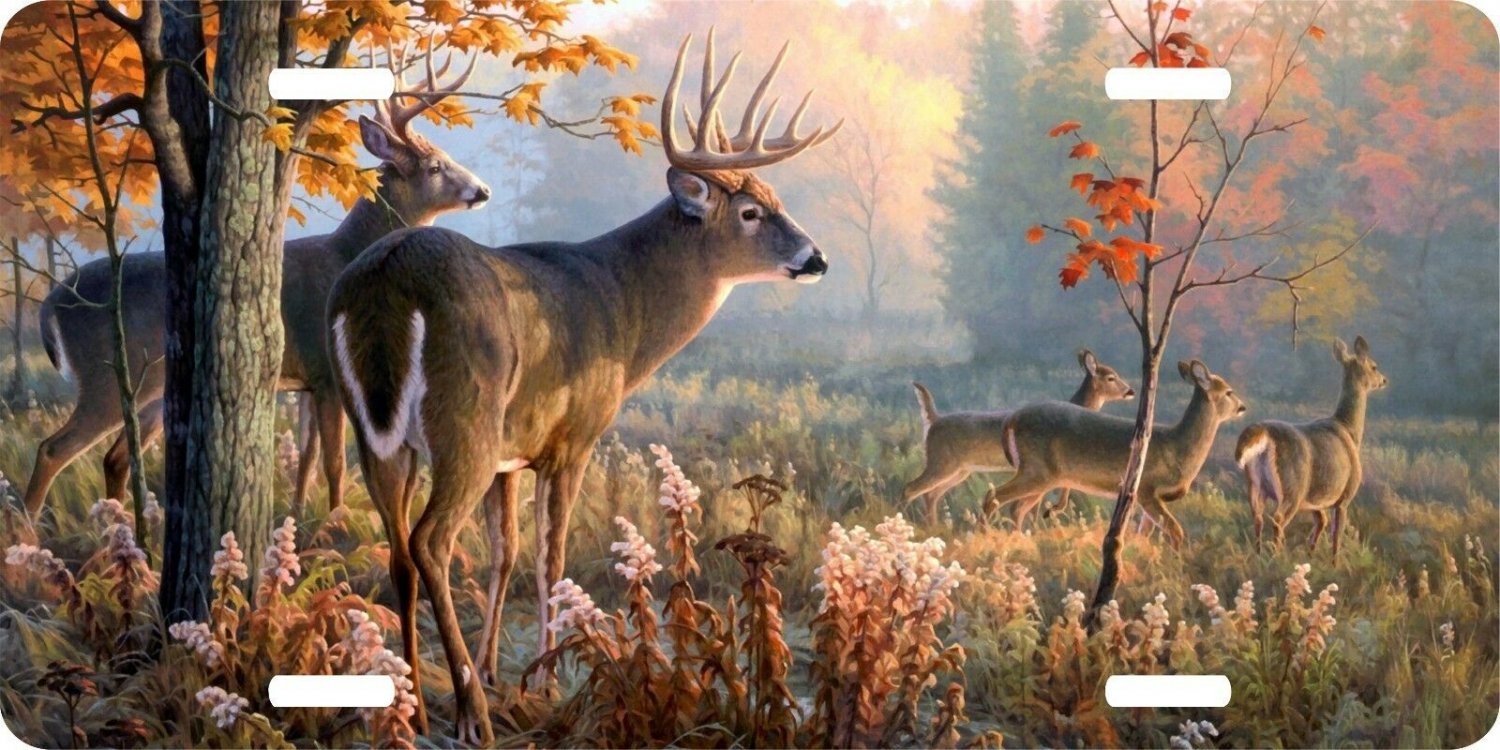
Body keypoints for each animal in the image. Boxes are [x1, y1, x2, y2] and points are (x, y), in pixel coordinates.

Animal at [26, 55, 489, 519]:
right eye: (434, 167)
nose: (482, 189)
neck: (348, 254)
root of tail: (50, 305)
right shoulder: (326, 370)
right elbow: (335, 461)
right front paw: (336, 519)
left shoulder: (305, 380)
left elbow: (306, 458)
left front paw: (299, 515)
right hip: (104, 375)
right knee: (52, 449)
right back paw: (30, 530)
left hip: (150, 388)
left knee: (114, 457)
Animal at [326, 31, 839, 743]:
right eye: (750, 211)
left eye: (777, 197)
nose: (817, 258)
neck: (620, 309)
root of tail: (383, 282)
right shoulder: (573, 437)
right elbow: (551, 556)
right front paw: (542, 680)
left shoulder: (514, 453)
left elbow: (506, 552)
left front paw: (501, 672)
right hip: (465, 419)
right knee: (432, 542)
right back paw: (470, 715)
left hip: (380, 436)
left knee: (401, 552)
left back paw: (416, 706)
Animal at [903, 350, 1136, 526]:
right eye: (1111, 377)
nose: (1131, 391)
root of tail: (934, 420)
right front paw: (1047, 516)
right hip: (942, 463)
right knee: (911, 488)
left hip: (959, 471)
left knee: (931, 494)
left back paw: (934, 527)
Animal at [986, 359, 1247, 547]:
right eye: (1229, 392)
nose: (1243, 407)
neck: (1177, 448)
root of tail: (1011, 420)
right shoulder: (1145, 489)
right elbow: (1176, 531)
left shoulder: (1152, 499)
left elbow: (1145, 534)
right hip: (1036, 470)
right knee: (993, 497)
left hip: (1043, 477)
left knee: (1016, 507)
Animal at [1236, 336, 1387, 555]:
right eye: (1374, 366)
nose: (1384, 380)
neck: (1349, 430)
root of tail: (1263, 433)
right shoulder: (1344, 497)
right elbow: (1336, 537)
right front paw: (1333, 561)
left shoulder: (1316, 501)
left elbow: (1321, 523)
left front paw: (1311, 554)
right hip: (1292, 487)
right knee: (1278, 519)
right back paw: (1277, 556)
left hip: (1255, 485)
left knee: (1257, 518)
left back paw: (1259, 555)